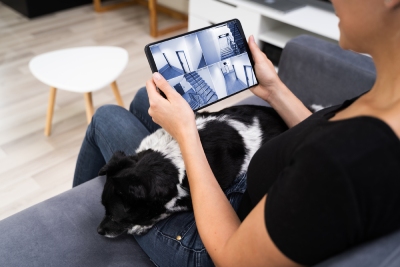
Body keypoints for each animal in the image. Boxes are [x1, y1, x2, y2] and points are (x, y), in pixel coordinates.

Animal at [97, 104, 288, 239]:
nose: (98, 231)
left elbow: (166, 210)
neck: (167, 159)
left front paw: (141, 224)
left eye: (114, 217)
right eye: (103, 208)